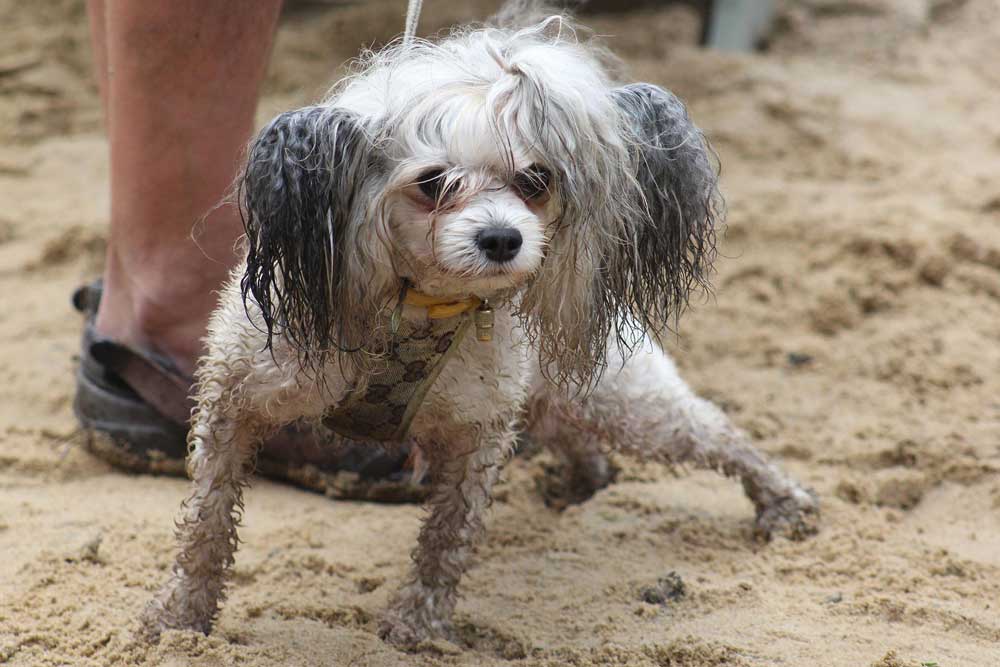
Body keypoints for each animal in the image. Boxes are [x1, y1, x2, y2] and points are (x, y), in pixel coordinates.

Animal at [137, 7, 816, 648]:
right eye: (433, 182)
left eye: (537, 179)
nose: (503, 238)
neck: (419, 306)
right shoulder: (234, 402)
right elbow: (207, 521)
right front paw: (180, 617)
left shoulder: (478, 433)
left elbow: (448, 536)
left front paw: (417, 624)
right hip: (558, 402)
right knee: (584, 441)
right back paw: (580, 484)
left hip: (626, 401)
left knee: (718, 434)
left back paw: (783, 502)